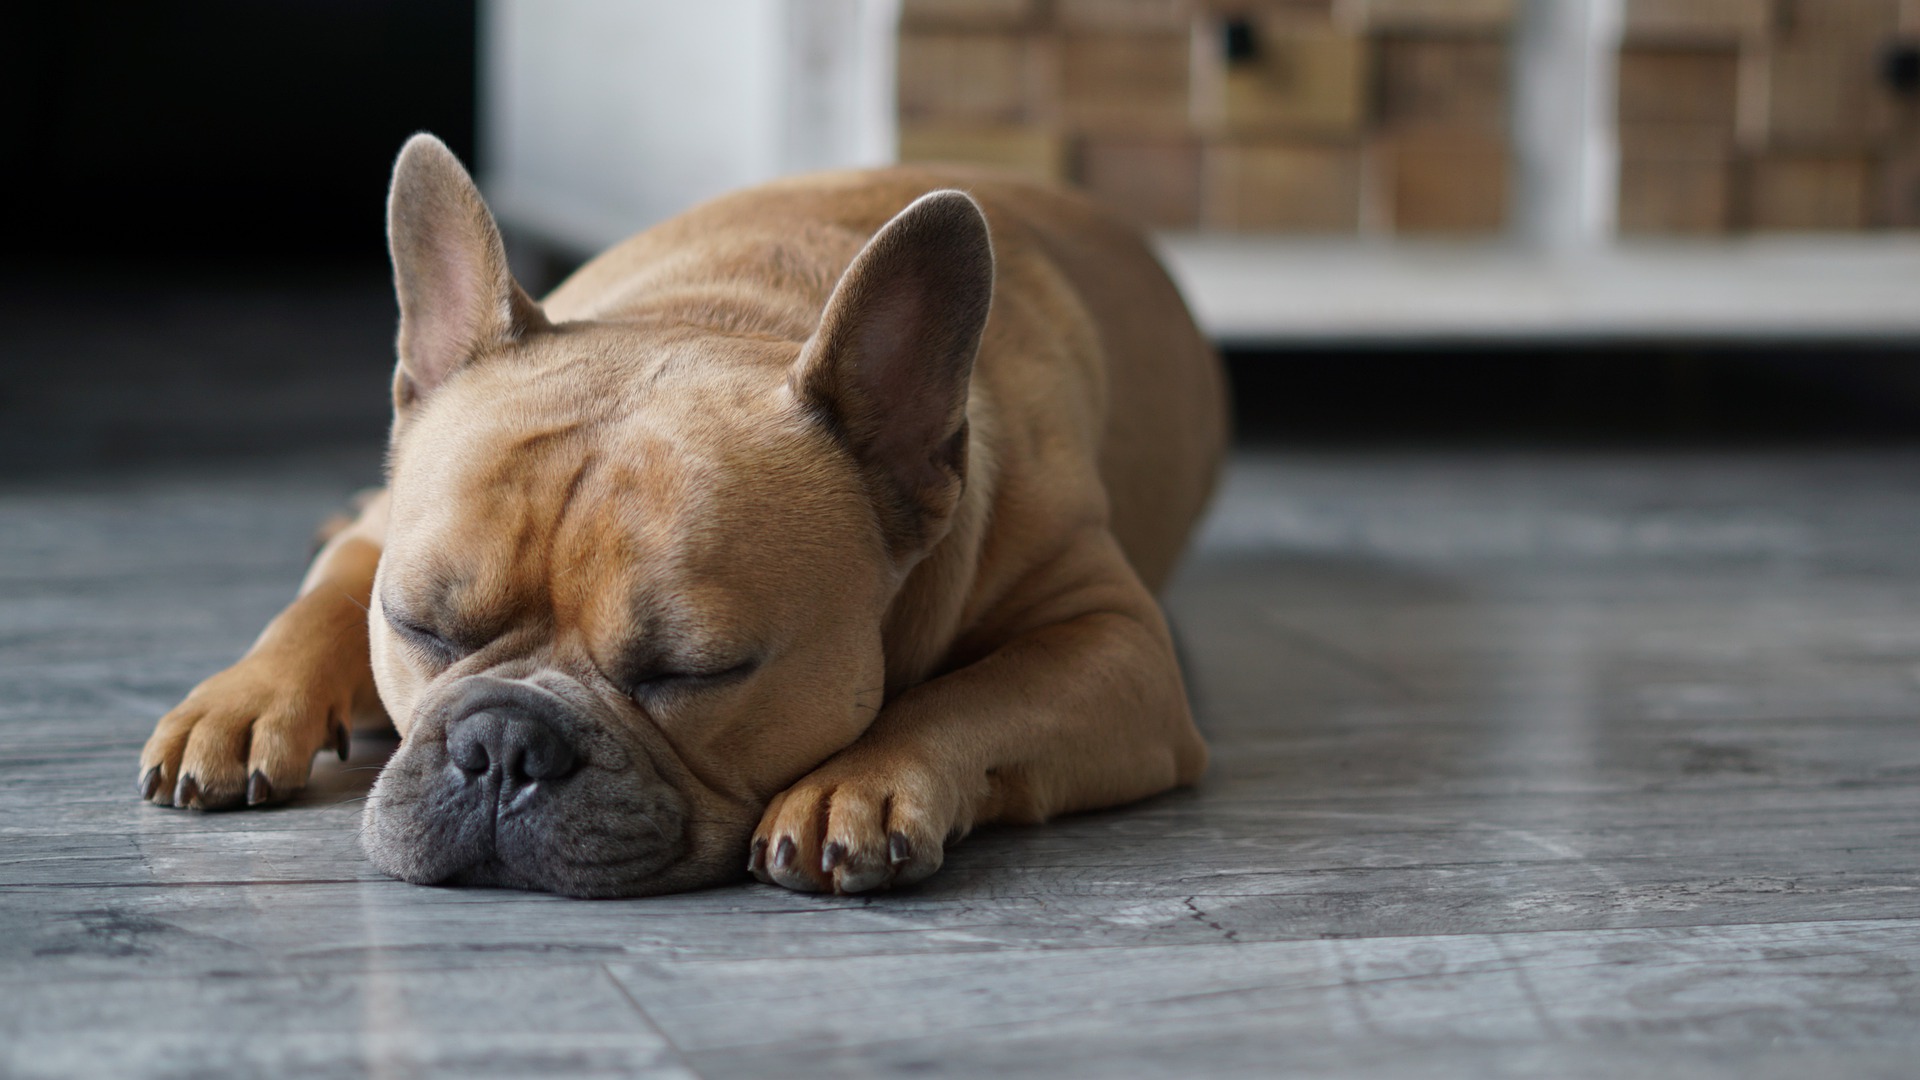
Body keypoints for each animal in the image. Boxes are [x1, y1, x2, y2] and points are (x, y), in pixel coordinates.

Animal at [145, 134, 1228, 891]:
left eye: (694, 673)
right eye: (420, 628)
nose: (503, 746)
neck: (726, 309)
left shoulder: (1116, 643)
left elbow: (973, 694)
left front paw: (858, 783)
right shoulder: (385, 550)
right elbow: (318, 607)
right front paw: (240, 703)